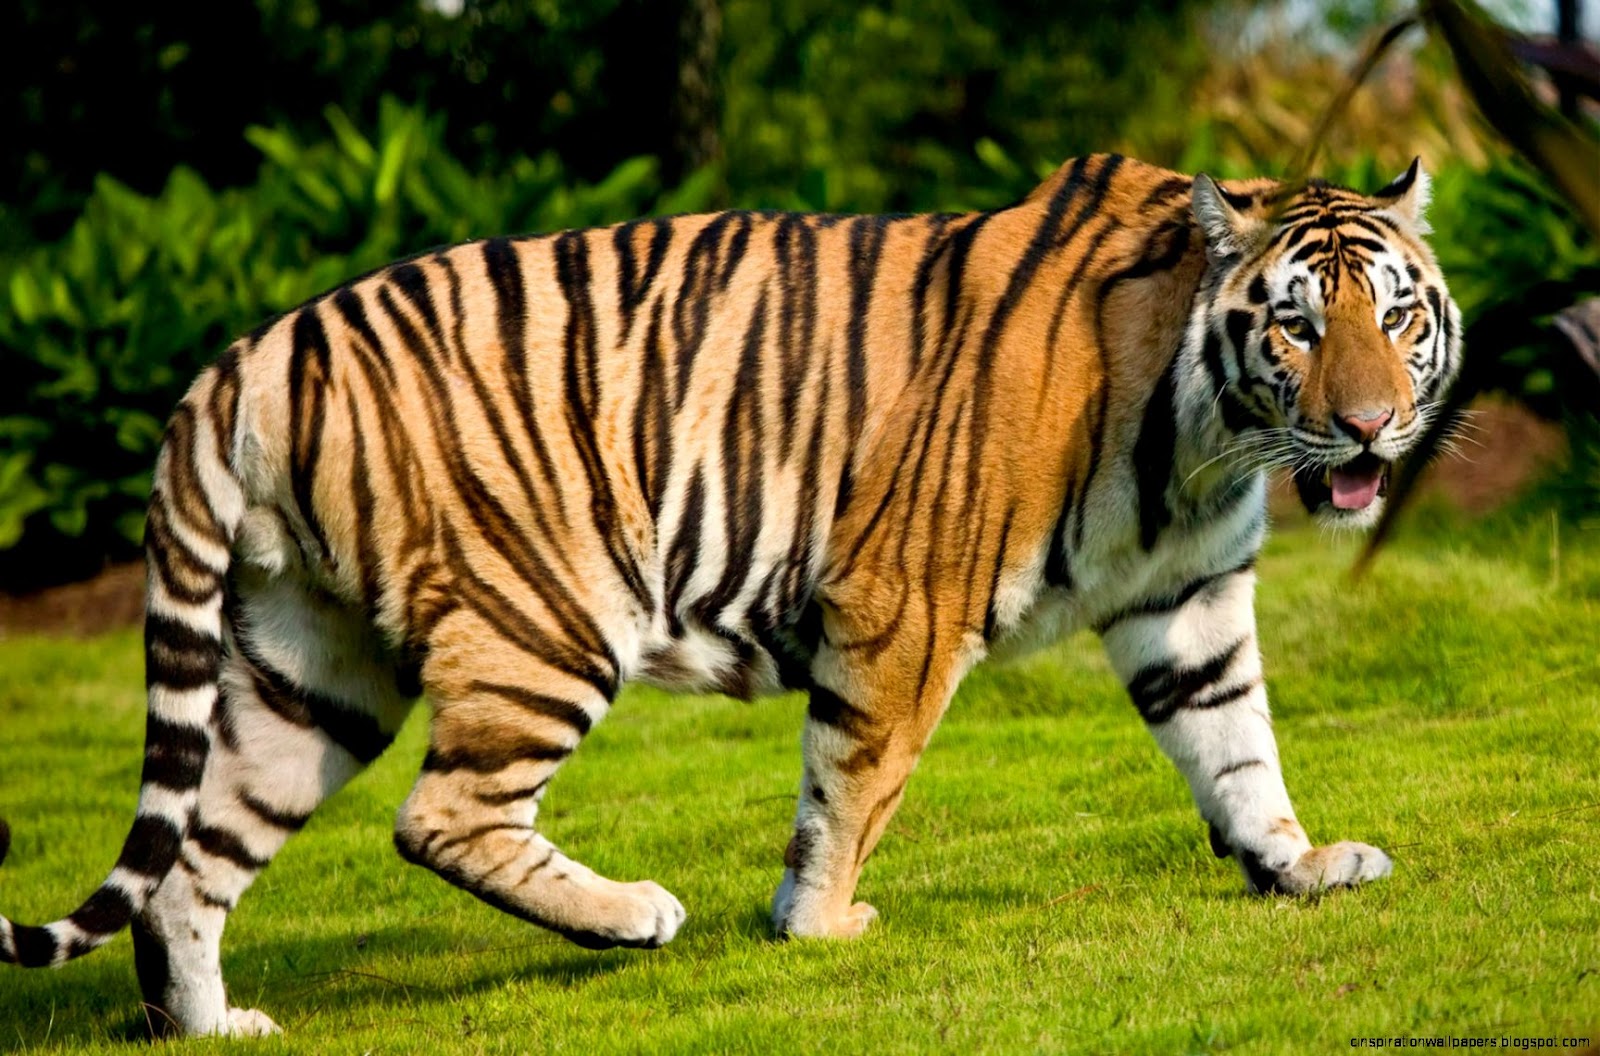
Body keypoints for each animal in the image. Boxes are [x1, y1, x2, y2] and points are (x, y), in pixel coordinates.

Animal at [0, 153, 1459, 1036]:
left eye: (1396, 316)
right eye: (1299, 325)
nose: (1372, 429)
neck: (1206, 439)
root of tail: (244, 352)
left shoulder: (1190, 600)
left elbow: (1237, 743)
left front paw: (1297, 865)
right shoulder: (904, 601)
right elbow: (856, 783)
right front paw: (818, 926)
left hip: (314, 666)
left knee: (195, 861)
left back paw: (214, 1026)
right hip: (548, 613)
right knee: (438, 815)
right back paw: (635, 916)